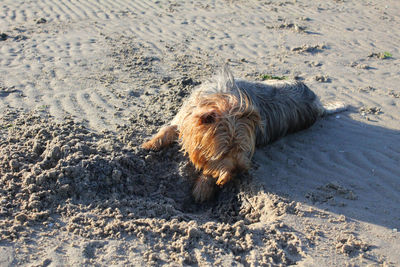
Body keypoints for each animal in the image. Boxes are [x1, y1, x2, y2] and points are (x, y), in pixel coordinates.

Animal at [142, 66, 346, 202]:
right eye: (224, 151)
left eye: (243, 149)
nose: (239, 171)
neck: (220, 100)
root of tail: (318, 105)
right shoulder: (183, 116)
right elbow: (167, 128)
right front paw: (150, 144)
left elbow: (210, 171)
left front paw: (203, 188)